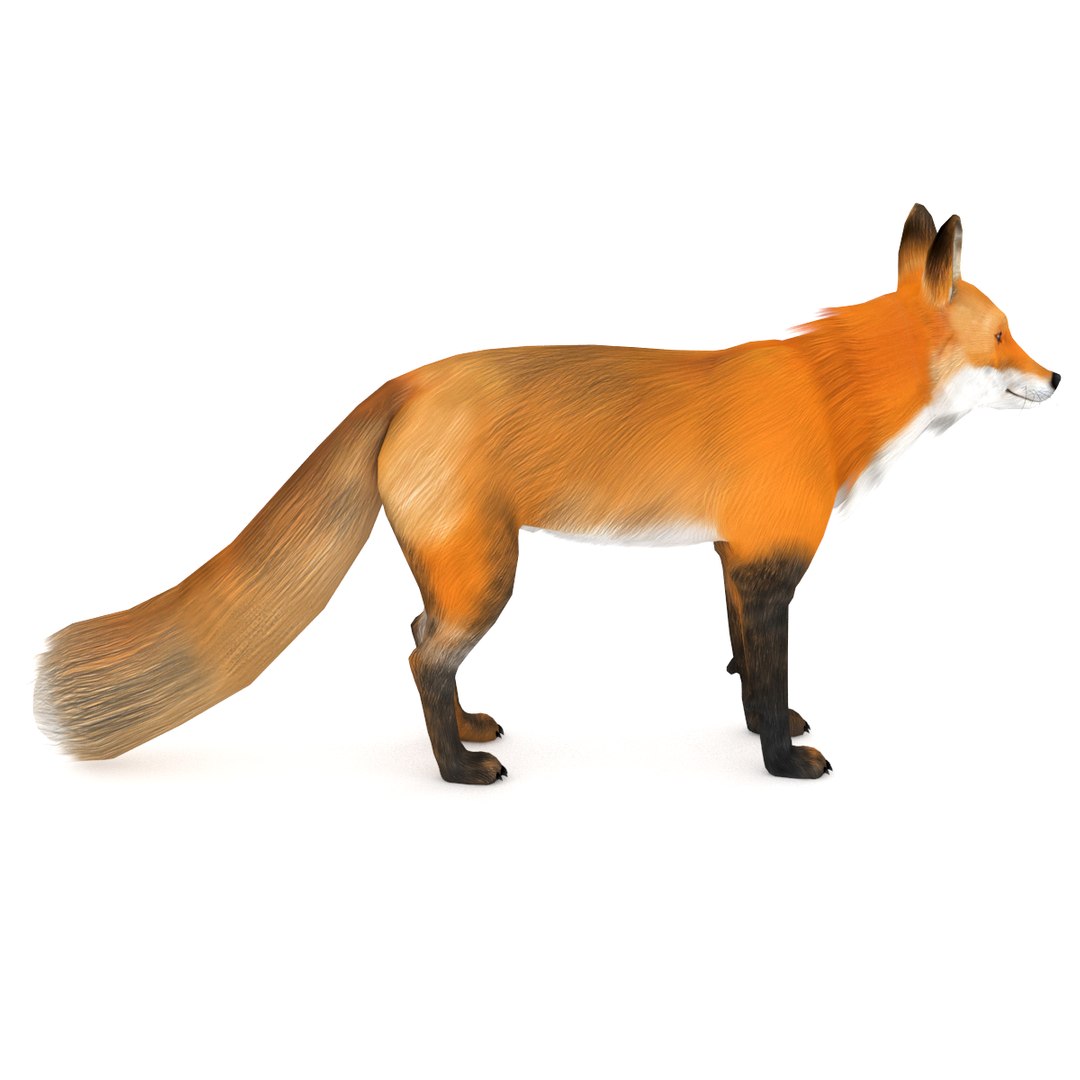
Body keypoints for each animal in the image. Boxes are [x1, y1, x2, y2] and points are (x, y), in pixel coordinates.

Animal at [35, 205, 1059, 783]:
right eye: (1004, 336)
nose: (1056, 377)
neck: (826, 397)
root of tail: (406, 381)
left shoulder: (734, 557)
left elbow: (742, 664)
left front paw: (761, 729)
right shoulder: (771, 564)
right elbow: (768, 677)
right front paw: (782, 761)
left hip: (462, 571)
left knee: (419, 639)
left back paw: (465, 729)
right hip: (490, 575)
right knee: (421, 657)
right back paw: (458, 769)